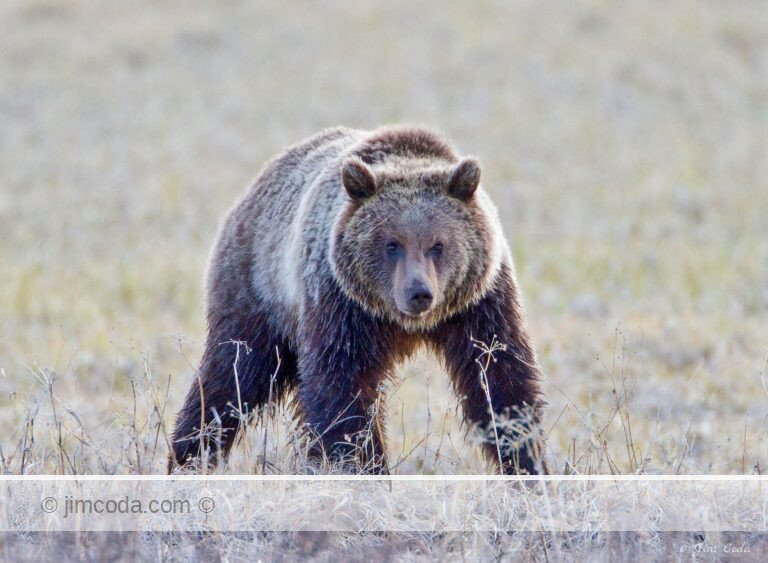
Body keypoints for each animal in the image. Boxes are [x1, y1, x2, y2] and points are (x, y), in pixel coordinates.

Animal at [168, 126, 547, 474]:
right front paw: (365, 466)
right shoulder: (342, 306)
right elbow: (342, 391)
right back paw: (188, 456)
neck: (400, 323)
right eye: (392, 244)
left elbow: (499, 378)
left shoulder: (479, 304)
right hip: (258, 295)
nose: (419, 293)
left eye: (438, 244)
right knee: (231, 377)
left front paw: (528, 461)